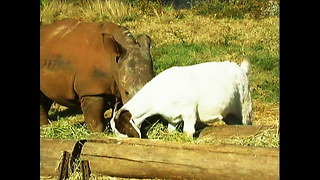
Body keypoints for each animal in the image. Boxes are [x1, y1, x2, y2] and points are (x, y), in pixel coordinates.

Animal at [110, 59, 252, 138]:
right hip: (230, 114)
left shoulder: (189, 112)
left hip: (245, 105)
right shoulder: (172, 118)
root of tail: (241, 69)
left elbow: (187, 132)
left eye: (121, 128)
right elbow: (171, 130)